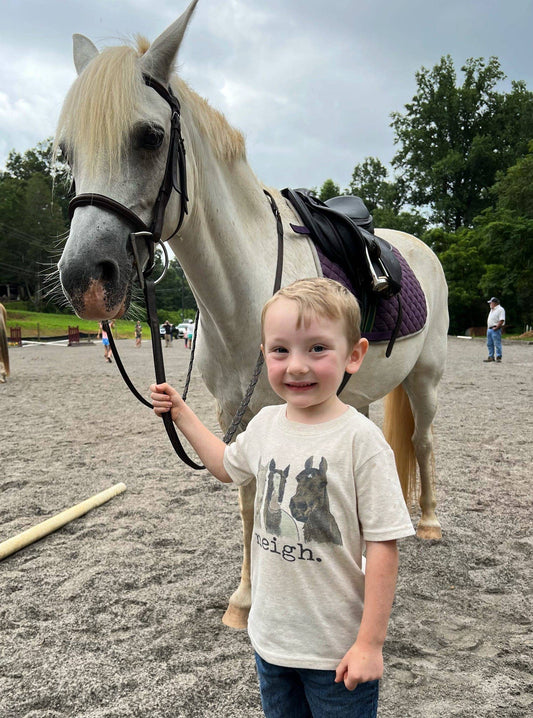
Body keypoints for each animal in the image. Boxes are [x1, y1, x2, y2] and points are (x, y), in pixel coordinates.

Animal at [55, 0, 448, 629]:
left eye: (149, 137)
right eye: (65, 152)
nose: (86, 281)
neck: (245, 295)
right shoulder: (232, 416)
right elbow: (247, 500)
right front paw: (245, 600)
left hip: (426, 379)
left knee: (426, 441)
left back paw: (430, 523)